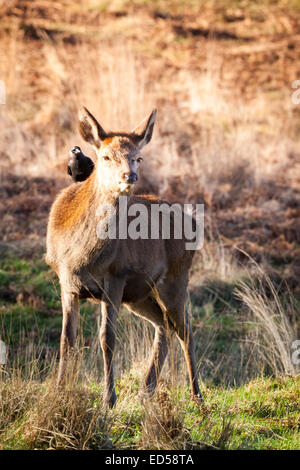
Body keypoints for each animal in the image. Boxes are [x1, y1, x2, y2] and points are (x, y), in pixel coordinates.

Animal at [46, 107, 202, 408]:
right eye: (105, 157)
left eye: (138, 157)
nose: (130, 176)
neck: (82, 257)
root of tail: (192, 223)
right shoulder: (66, 282)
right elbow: (66, 339)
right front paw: (58, 391)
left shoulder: (116, 277)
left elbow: (107, 338)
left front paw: (109, 398)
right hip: (140, 294)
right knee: (164, 325)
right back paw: (147, 389)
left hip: (176, 278)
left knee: (185, 329)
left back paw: (197, 396)